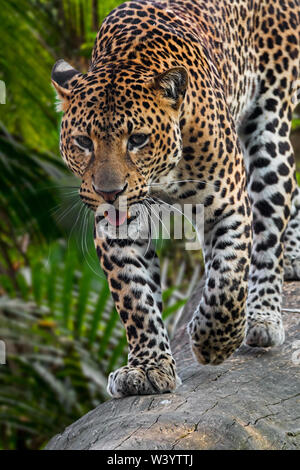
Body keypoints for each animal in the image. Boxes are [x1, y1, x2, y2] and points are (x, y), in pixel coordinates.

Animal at [51, 0, 300, 396]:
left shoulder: (228, 206)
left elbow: (227, 280)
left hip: (269, 130)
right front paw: (147, 367)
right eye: (83, 142)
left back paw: (263, 314)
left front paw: (213, 340)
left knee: (270, 221)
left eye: (137, 139)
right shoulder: (116, 228)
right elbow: (135, 296)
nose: (109, 192)